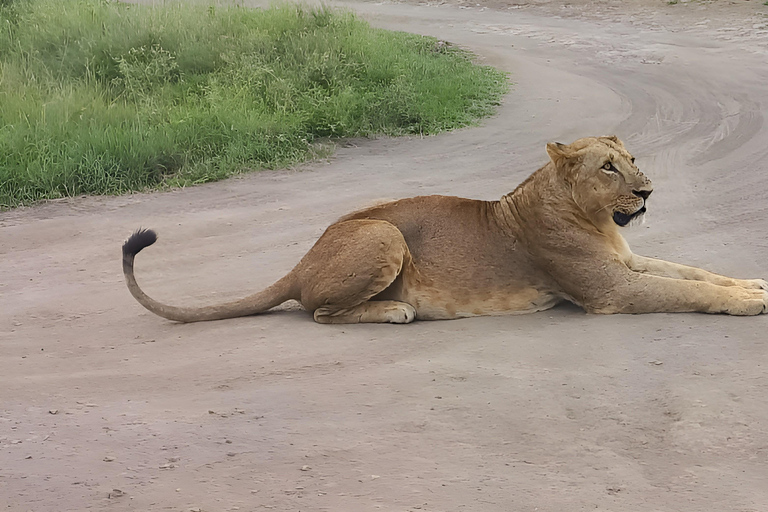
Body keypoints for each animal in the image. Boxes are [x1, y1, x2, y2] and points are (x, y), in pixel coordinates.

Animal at [121, 134, 768, 322]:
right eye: (609, 167)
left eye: (631, 158)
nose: (648, 191)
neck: (596, 221)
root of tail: (300, 261)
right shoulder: (609, 291)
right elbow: (683, 291)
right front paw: (748, 304)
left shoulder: (627, 264)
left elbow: (694, 271)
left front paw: (752, 285)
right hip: (385, 233)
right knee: (321, 312)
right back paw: (396, 311)